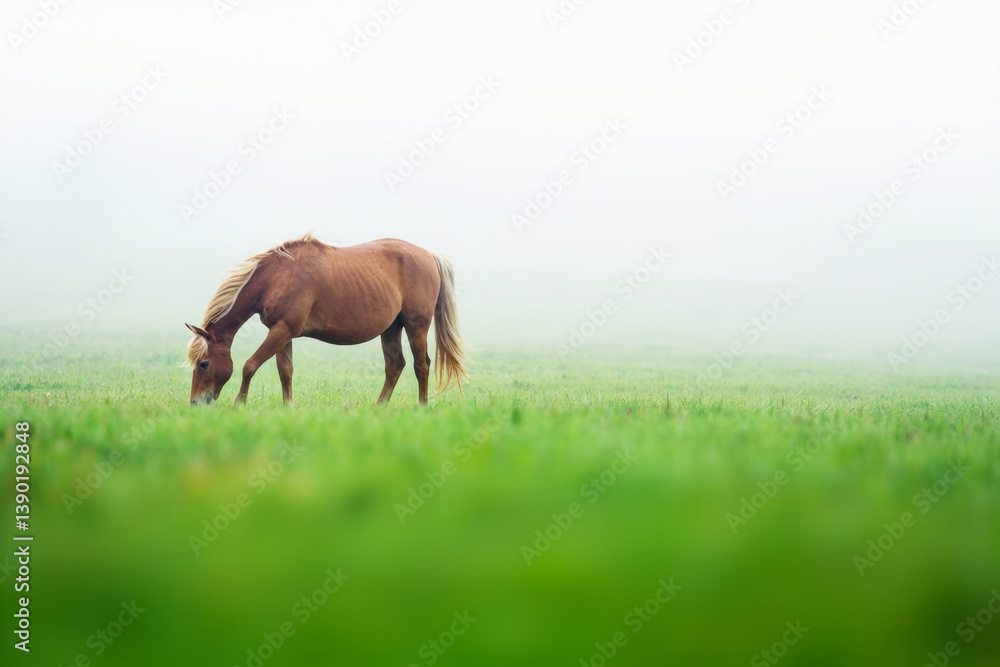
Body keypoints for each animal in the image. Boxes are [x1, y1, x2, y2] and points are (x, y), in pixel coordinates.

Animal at [185, 233, 467, 407]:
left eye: (204, 364)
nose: (196, 403)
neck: (279, 276)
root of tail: (428, 255)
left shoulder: (282, 330)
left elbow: (249, 365)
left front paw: (239, 404)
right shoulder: (281, 331)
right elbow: (285, 371)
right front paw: (287, 408)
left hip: (416, 326)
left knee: (421, 365)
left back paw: (422, 407)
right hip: (391, 328)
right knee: (395, 366)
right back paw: (378, 408)